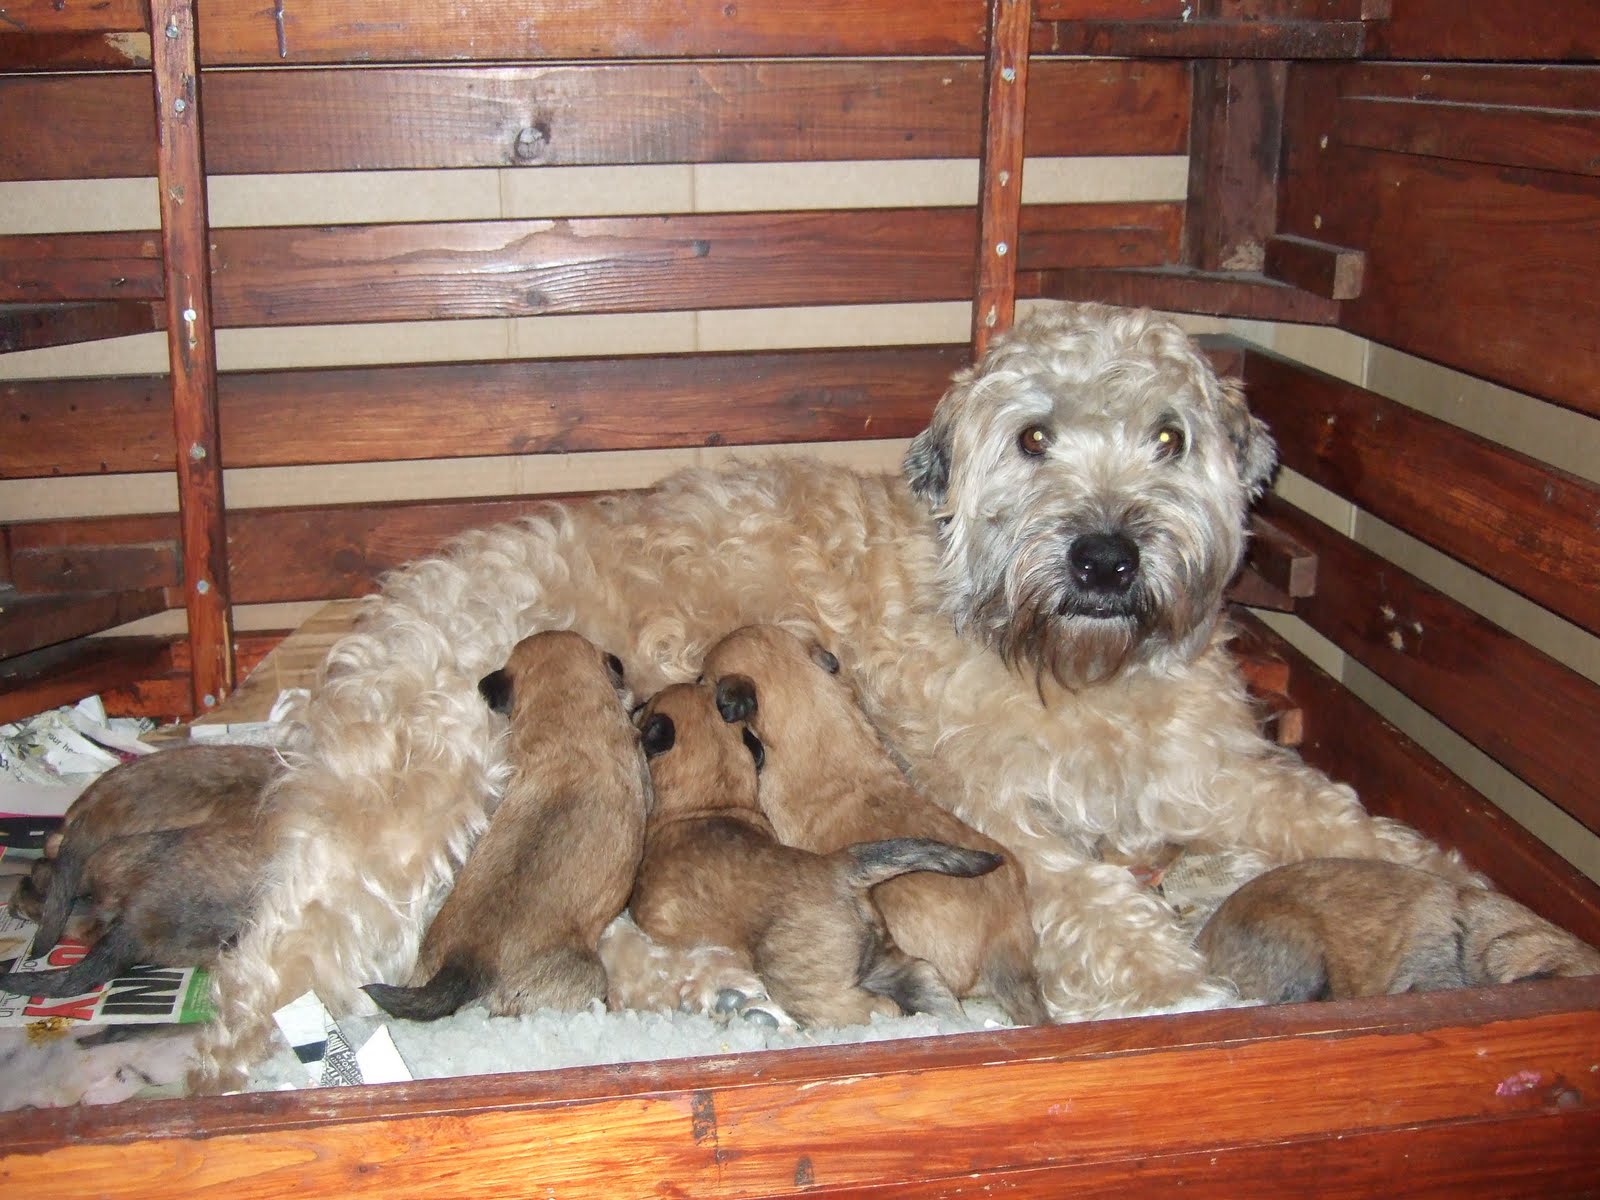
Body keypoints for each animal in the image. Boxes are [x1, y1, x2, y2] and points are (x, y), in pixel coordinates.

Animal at [627, 681, 998, 1030]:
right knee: (923, 979)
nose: (636, 706)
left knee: (875, 1008)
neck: (711, 801)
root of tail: (840, 868)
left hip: (811, 988)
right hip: (889, 962)